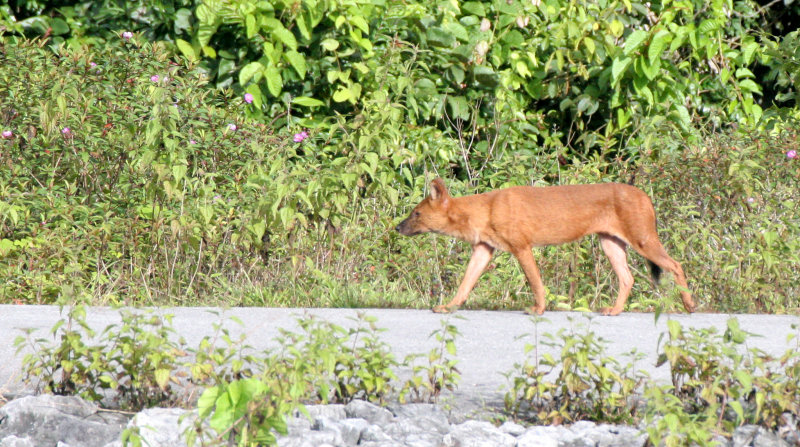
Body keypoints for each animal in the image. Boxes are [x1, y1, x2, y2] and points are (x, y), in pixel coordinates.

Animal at [394, 177, 692, 316]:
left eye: (416, 214)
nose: (397, 228)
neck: (484, 210)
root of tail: (646, 196)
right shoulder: (484, 248)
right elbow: (465, 283)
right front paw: (447, 307)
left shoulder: (521, 246)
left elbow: (535, 282)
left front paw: (538, 310)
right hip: (610, 243)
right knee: (627, 278)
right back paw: (614, 310)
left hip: (643, 240)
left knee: (676, 264)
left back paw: (690, 305)